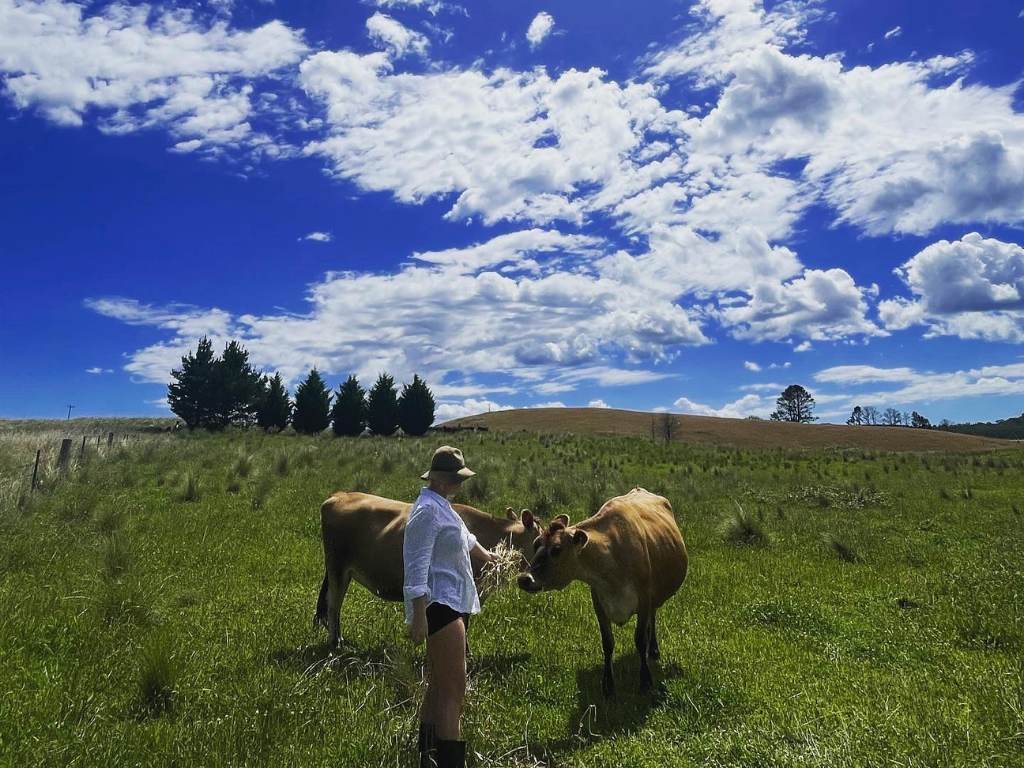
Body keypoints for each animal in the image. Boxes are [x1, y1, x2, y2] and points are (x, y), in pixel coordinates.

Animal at [517, 487, 687, 696]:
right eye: (535, 544)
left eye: (556, 549)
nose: (524, 579)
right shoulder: (598, 601)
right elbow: (607, 643)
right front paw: (608, 684)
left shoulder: (644, 598)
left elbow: (640, 639)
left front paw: (645, 680)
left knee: (652, 620)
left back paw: (653, 650)